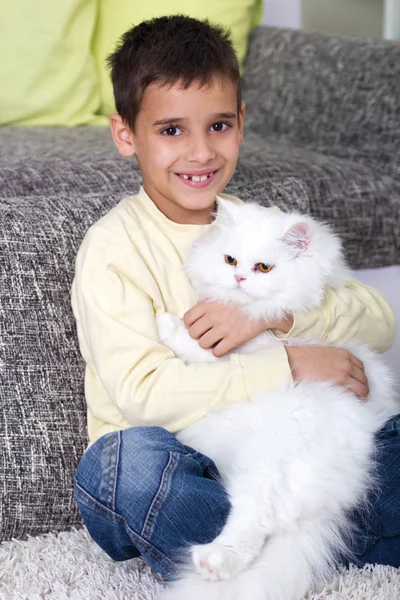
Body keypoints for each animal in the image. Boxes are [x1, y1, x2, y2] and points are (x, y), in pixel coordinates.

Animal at [155, 198, 396, 600]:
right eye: (230, 260)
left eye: (263, 268)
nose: (239, 279)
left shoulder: (238, 354)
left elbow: (199, 349)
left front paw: (167, 323)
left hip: (266, 464)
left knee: (254, 523)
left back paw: (212, 562)